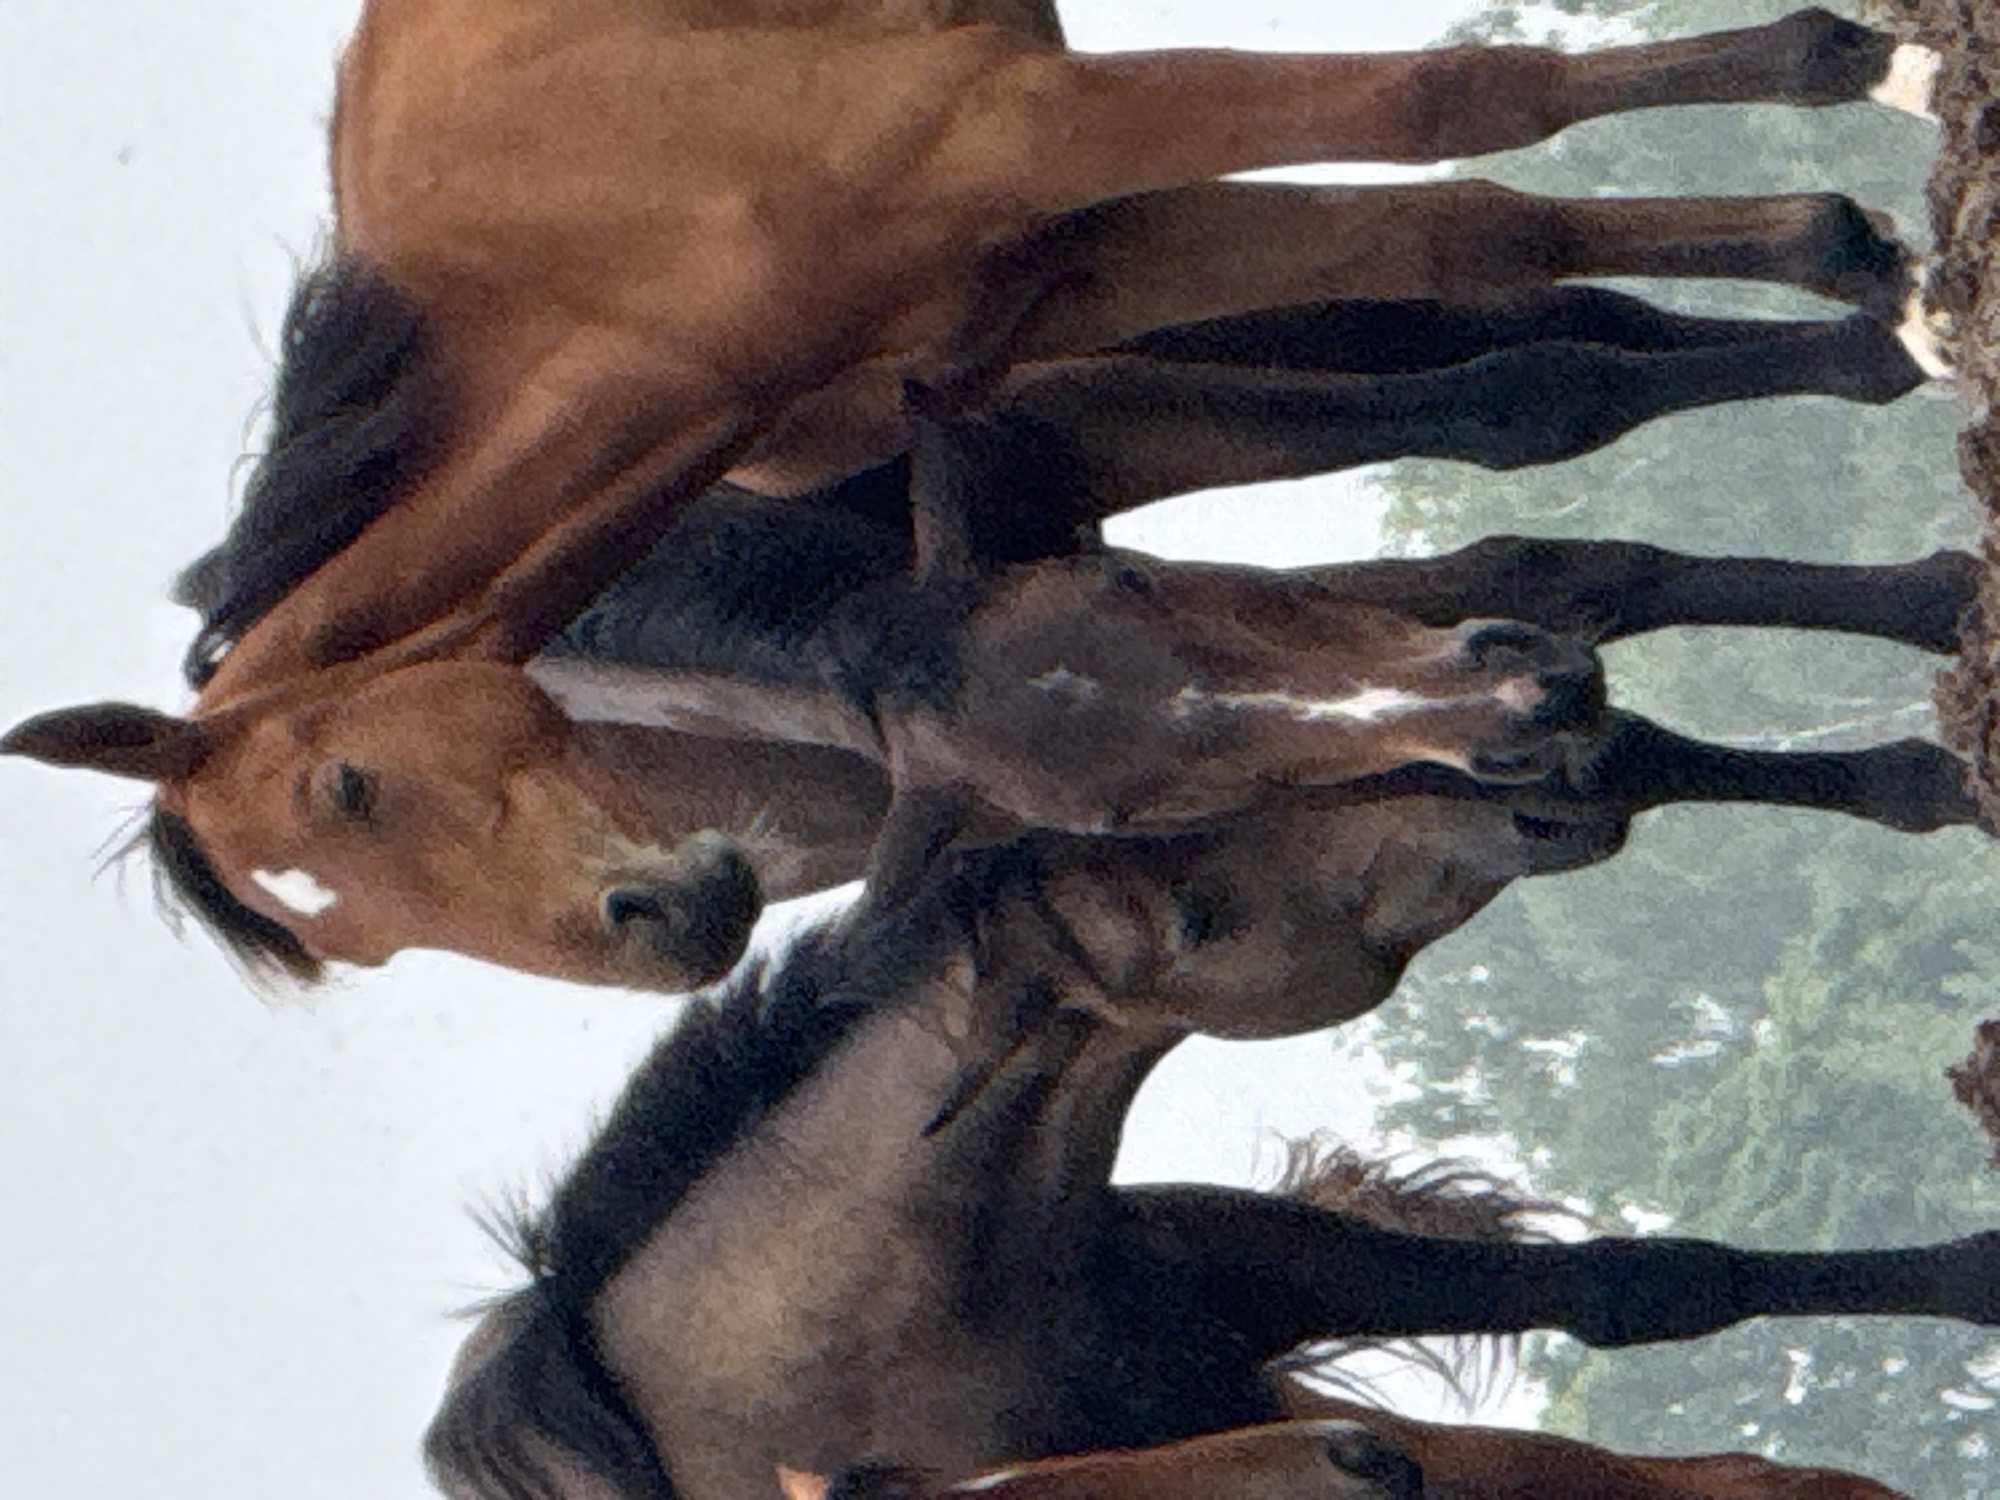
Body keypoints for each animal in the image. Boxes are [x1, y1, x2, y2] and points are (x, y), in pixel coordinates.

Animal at [0, 1, 1950, 982]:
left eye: (346, 790)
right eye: (356, 944)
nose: (663, 931)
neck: (590, 265)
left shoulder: (1034, 144)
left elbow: (1463, 112)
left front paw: (1844, 110)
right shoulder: (1075, 282)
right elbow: (1505, 304)